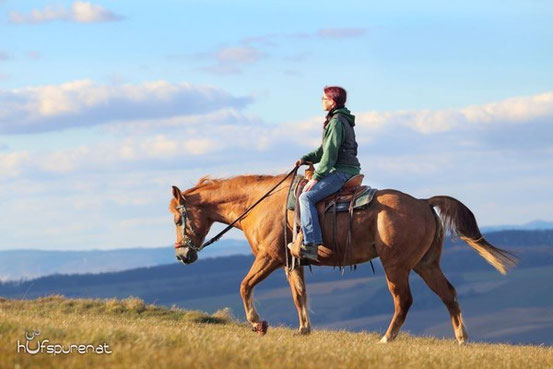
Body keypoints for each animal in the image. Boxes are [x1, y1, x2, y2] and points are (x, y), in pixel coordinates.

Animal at [168, 171, 516, 344]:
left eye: (176, 218)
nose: (183, 255)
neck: (260, 203)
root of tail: (422, 202)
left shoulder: (269, 258)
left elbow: (244, 286)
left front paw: (258, 324)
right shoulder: (291, 263)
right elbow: (299, 295)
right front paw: (304, 329)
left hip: (396, 266)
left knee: (403, 301)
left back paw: (386, 339)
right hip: (425, 264)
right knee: (449, 294)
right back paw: (461, 338)